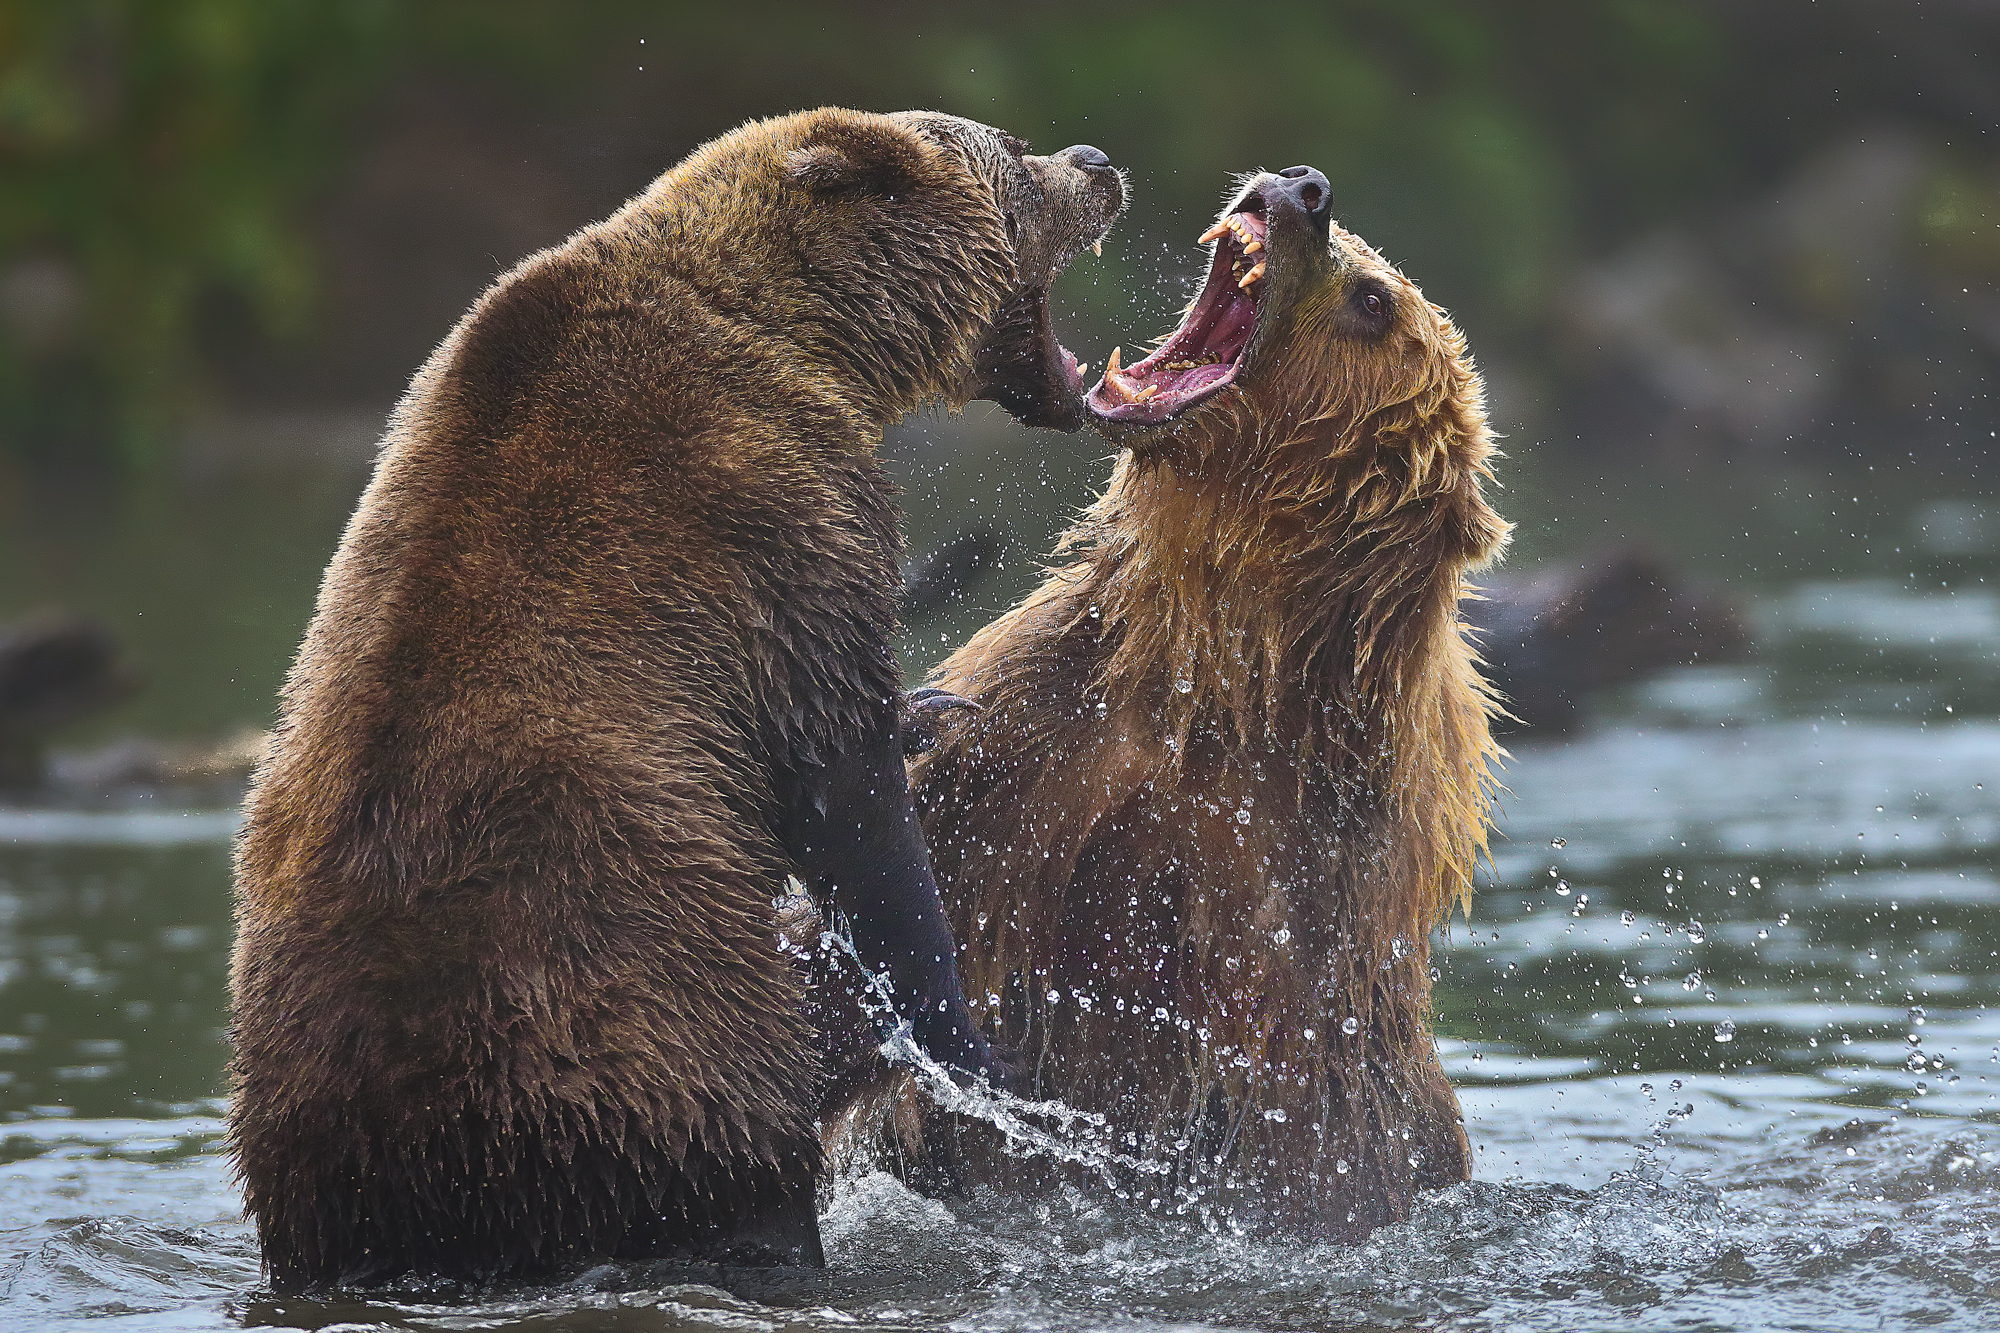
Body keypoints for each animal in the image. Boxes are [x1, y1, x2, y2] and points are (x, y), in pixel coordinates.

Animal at [227, 108, 1125, 1291]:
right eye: (1012, 153)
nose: (1098, 163)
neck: (811, 338)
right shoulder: (773, 514)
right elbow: (843, 788)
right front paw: (980, 1045)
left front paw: (935, 706)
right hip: (650, 1025)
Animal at [846, 165, 1509, 1241]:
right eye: (1370, 266)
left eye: (1374, 300)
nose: (1305, 187)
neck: (1215, 676)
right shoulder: (1032, 724)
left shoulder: (1299, 892)